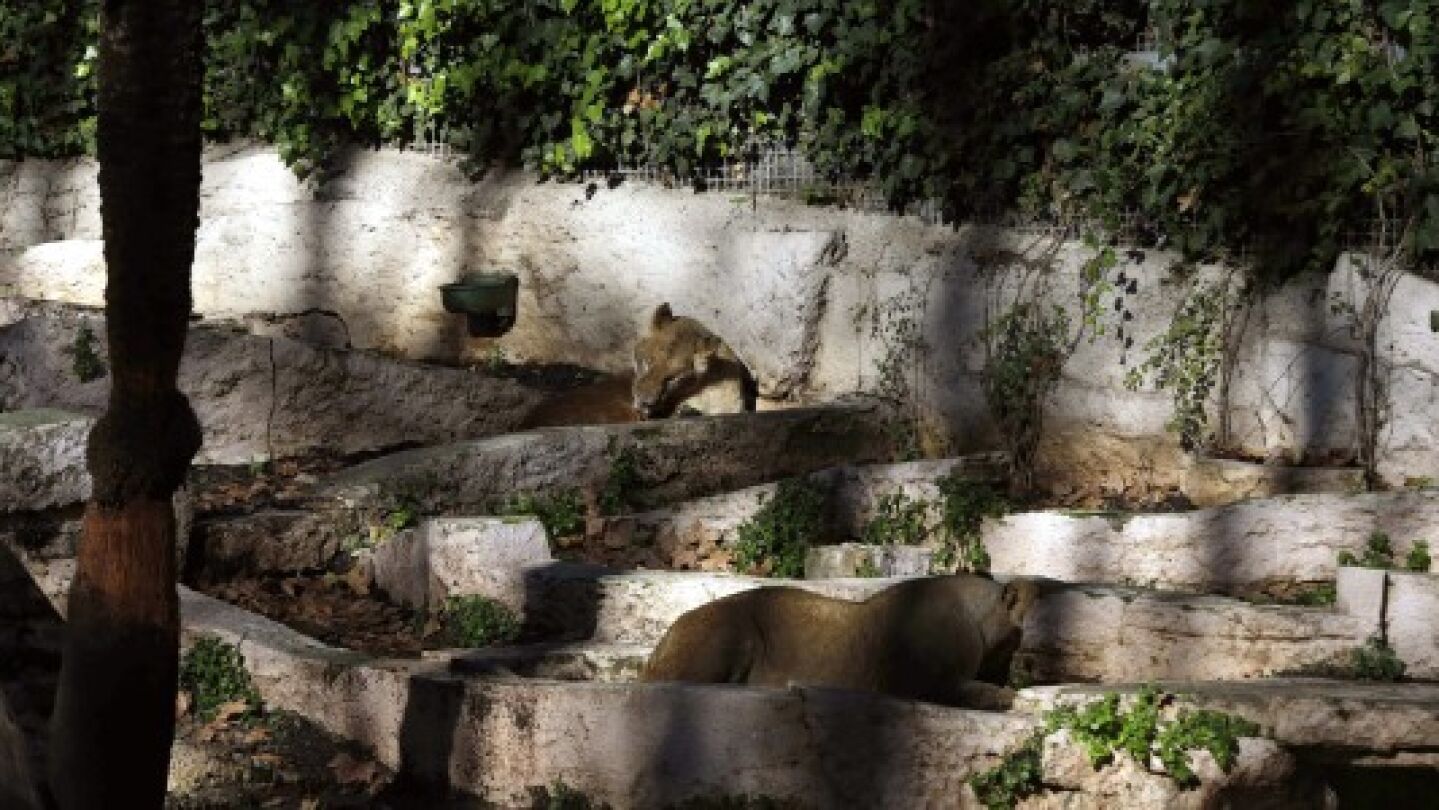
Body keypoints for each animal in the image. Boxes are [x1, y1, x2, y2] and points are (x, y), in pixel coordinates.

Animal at [640, 575, 1041, 709]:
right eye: (1017, 637)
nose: (1020, 666)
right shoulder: (925, 682)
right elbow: (970, 689)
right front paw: (1004, 696)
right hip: (731, 629)